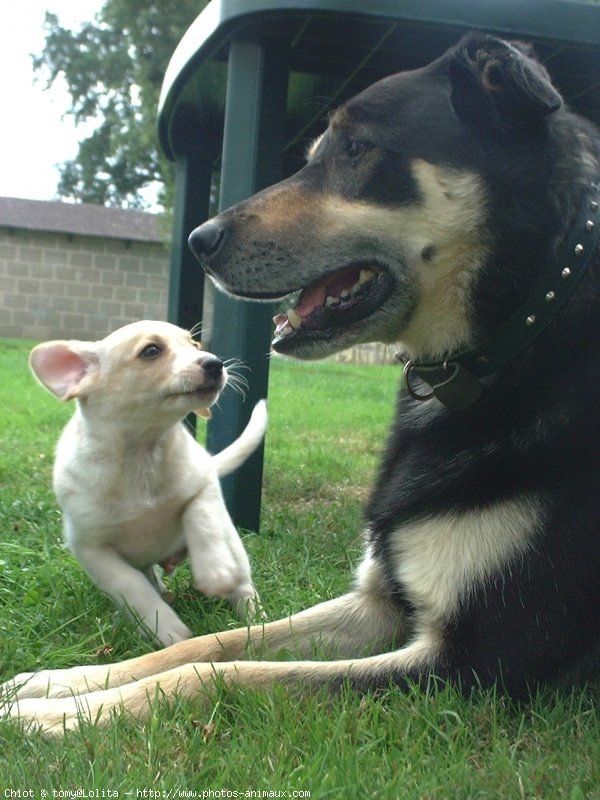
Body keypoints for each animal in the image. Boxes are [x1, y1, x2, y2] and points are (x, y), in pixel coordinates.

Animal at [29, 322, 266, 648]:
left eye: (194, 344)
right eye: (151, 351)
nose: (215, 363)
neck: (141, 453)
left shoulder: (204, 485)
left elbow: (200, 518)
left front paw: (214, 571)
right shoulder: (91, 548)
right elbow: (130, 586)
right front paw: (164, 626)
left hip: (233, 544)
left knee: (242, 583)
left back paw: (255, 617)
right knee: (148, 579)